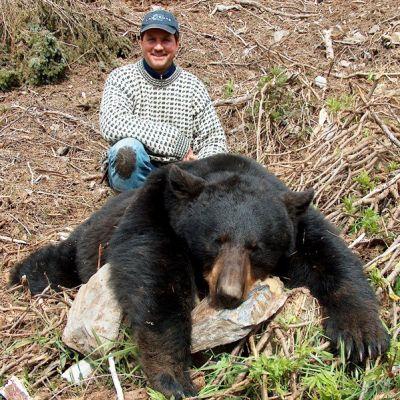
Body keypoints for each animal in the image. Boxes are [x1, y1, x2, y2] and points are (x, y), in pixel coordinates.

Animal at [10, 155, 390, 398]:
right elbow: (155, 274)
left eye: (256, 247)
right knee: (61, 260)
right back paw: (24, 274)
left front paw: (362, 337)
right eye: (215, 239)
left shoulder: (297, 223)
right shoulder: (156, 208)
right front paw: (174, 375)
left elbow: (328, 256)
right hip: (90, 239)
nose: (228, 293)